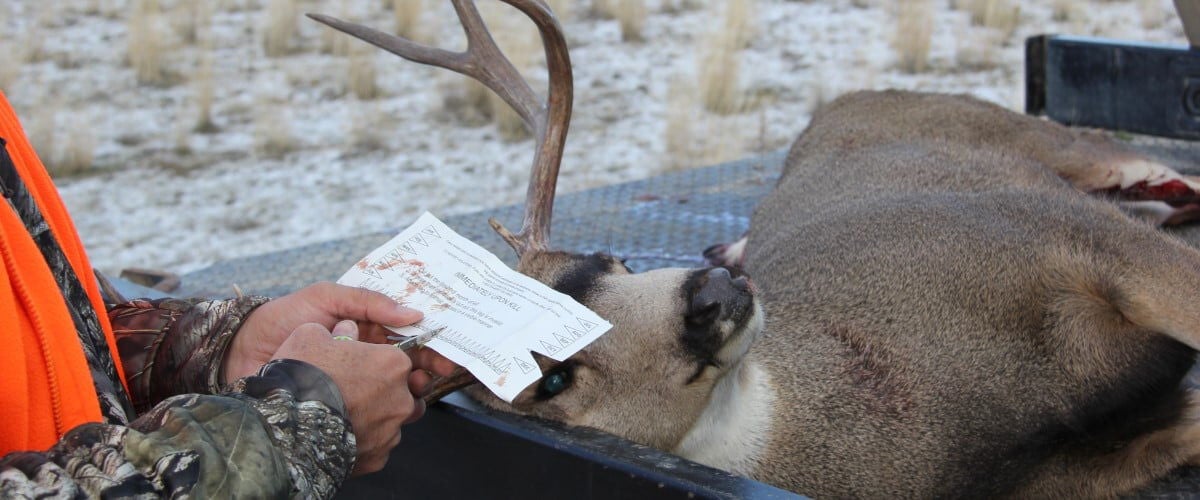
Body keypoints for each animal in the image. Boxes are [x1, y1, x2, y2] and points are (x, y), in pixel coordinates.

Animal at [314, 1, 1200, 496]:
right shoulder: (1051, 476)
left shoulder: (1050, 230)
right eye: (552, 381)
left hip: (1055, 153)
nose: (709, 294)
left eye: (613, 259)